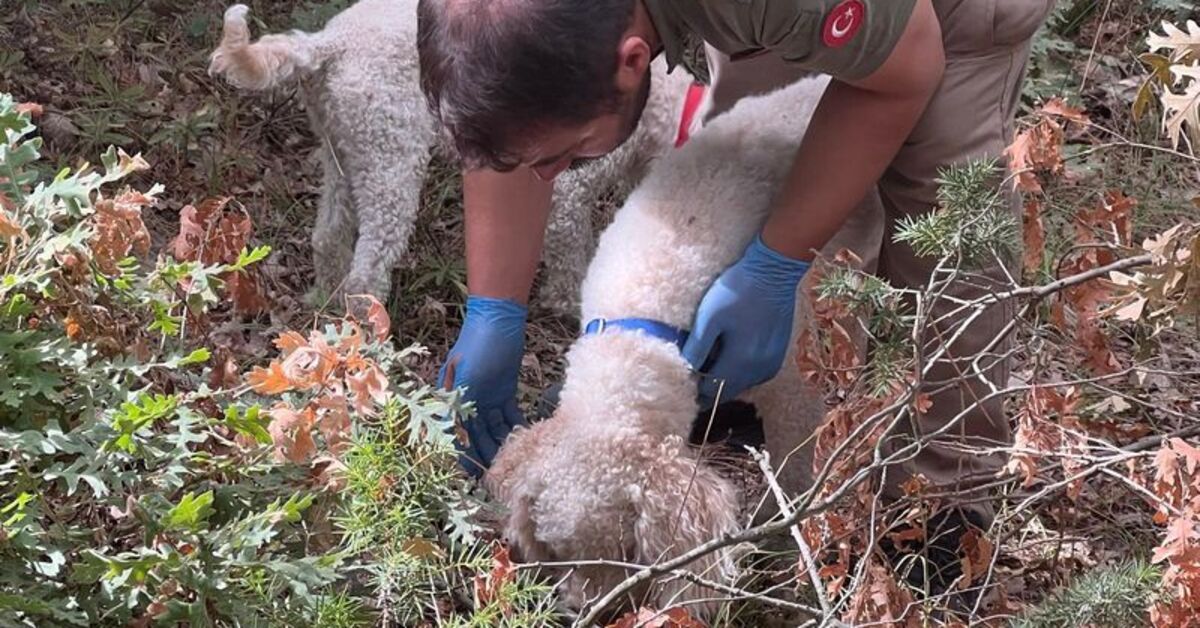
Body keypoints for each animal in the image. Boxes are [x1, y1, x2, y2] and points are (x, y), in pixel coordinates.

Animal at [206, 0, 696, 314]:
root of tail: (329, 42)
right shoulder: (568, 192)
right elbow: (572, 255)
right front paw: (569, 302)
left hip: (343, 152)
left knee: (327, 237)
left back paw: (324, 301)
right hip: (392, 160)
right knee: (368, 270)